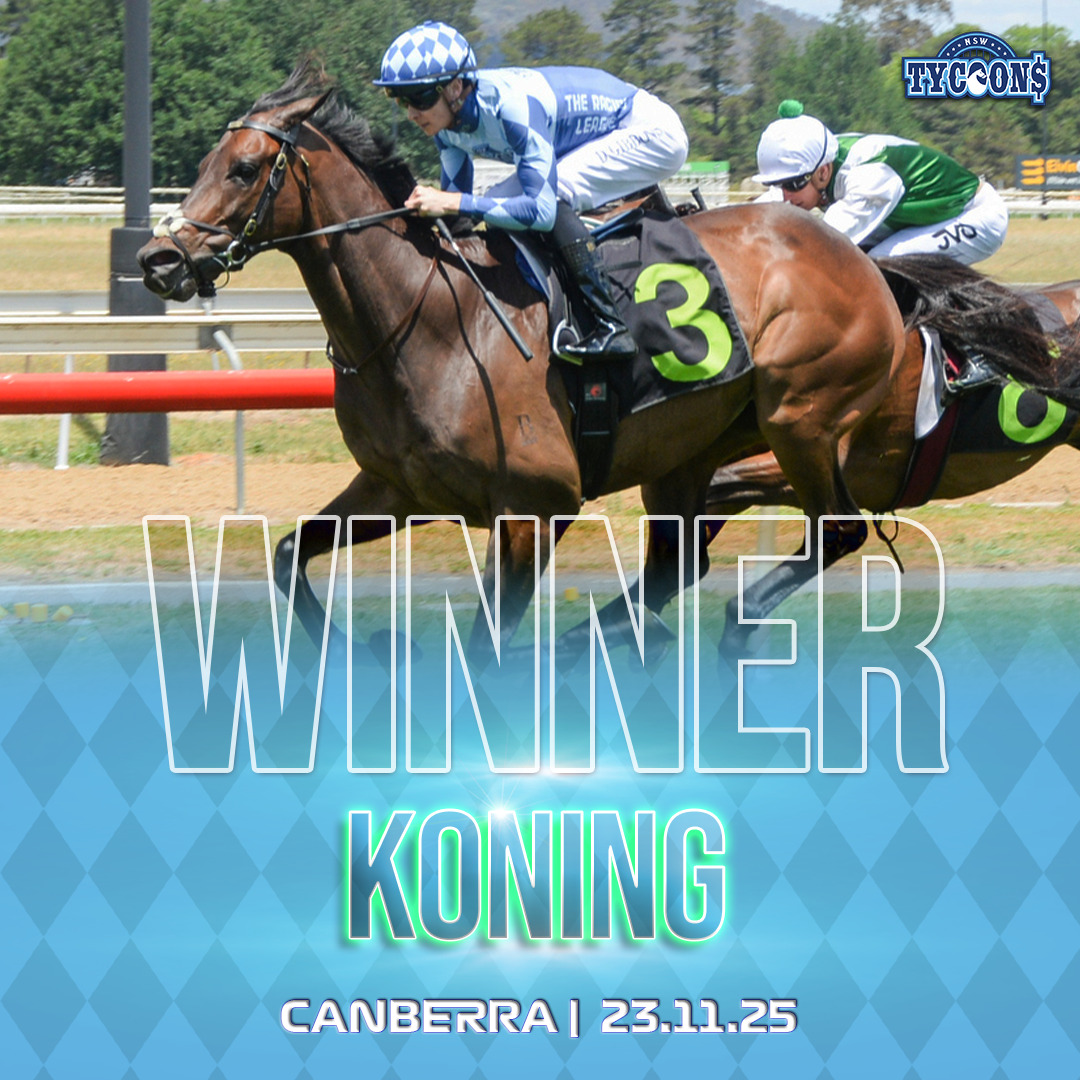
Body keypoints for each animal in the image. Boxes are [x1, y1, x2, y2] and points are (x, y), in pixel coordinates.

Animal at [137, 60, 911, 661]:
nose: (157, 260)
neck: (429, 321)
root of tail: (857, 258)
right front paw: (364, 653)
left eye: (243, 169)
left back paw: (724, 625)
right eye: (202, 165)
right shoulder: (397, 490)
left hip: (799, 418)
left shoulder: (535, 509)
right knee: (679, 564)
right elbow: (288, 559)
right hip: (688, 448)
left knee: (837, 527)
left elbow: (487, 644)